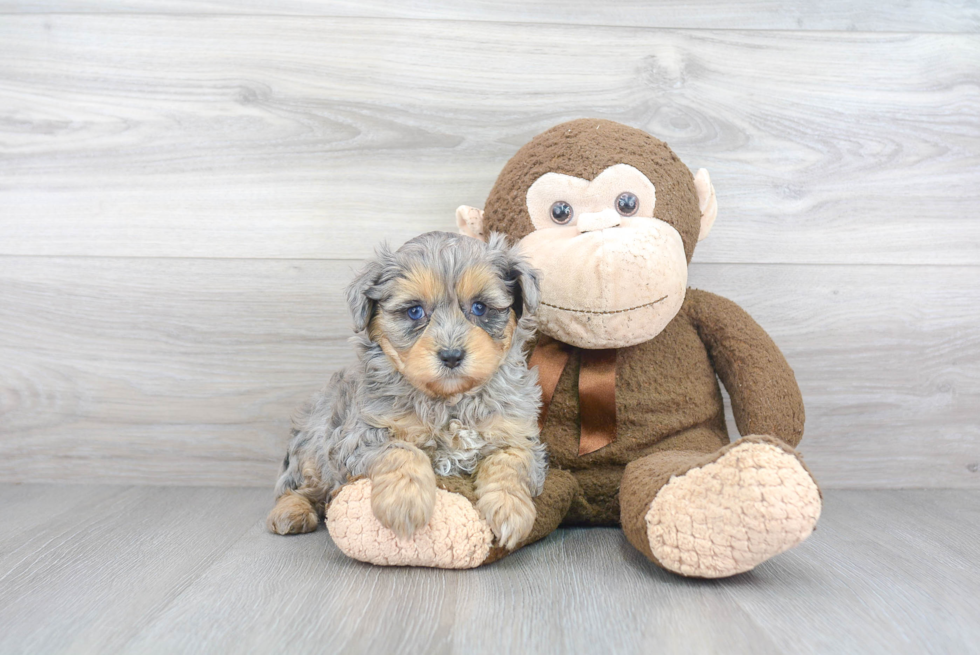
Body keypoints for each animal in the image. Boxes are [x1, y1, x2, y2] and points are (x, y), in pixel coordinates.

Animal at [264, 231, 548, 548]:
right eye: (414, 311)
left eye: (480, 307)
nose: (451, 355)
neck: (449, 401)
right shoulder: (357, 437)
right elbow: (401, 451)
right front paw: (405, 503)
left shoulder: (517, 435)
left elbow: (510, 462)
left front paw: (509, 508)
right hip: (312, 450)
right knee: (298, 488)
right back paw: (291, 512)